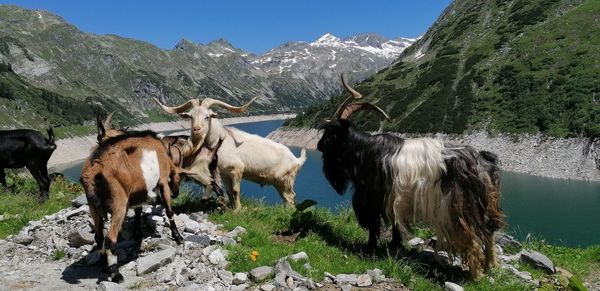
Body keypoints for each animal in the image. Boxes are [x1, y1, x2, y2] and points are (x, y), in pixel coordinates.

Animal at [79, 131, 184, 282]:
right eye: (178, 178)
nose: (176, 193)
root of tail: (92, 171)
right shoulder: (163, 181)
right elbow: (169, 211)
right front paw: (178, 237)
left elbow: (138, 210)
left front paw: (137, 232)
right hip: (119, 204)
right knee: (110, 238)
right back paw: (116, 273)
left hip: (93, 207)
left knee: (99, 237)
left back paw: (105, 267)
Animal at [152, 97, 308, 210]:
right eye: (190, 116)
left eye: (207, 117)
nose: (196, 129)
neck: (219, 141)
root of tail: (297, 160)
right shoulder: (224, 174)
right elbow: (228, 192)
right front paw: (230, 207)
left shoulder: (236, 170)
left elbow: (235, 190)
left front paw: (238, 209)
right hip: (279, 183)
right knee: (286, 198)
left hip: (285, 181)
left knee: (290, 197)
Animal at [316, 73, 504, 280]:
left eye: (331, 132)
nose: (318, 146)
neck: (366, 151)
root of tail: (482, 161)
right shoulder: (394, 200)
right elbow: (395, 223)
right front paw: (394, 245)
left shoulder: (375, 197)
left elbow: (375, 224)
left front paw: (370, 247)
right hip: (486, 204)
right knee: (489, 231)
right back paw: (491, 267)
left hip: (460, 208)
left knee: (474, 237)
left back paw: (476, 274)